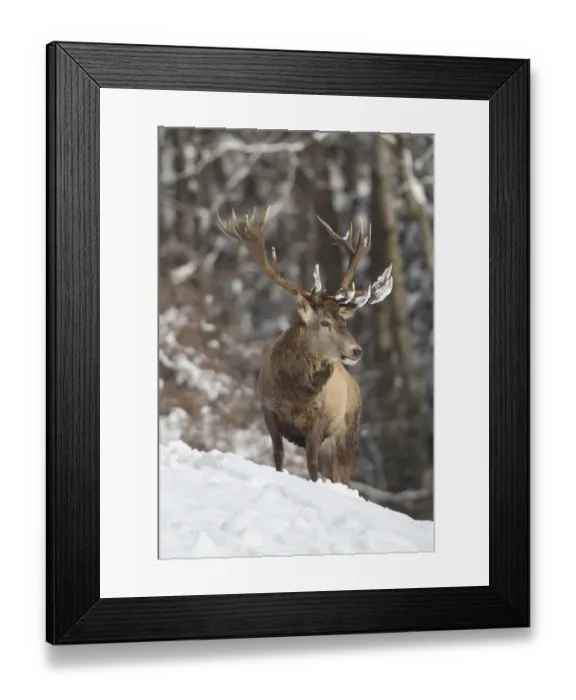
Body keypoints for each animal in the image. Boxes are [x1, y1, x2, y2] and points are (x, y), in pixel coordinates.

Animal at [216, 207, 393, 487]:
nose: (357, 351)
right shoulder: (267, 408)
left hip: (347, 433)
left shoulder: (318, 421)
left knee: (343, 475)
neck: (295, 395)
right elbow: (278, 456)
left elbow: (310, 466)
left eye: (344, 322)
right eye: (325, 322)